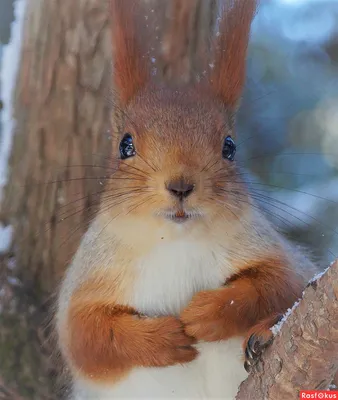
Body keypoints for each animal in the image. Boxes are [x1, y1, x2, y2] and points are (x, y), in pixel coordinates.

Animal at [55, 1, 316, 398]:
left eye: (229, 147)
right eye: (125, 145)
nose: (180, 185)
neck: (175, 242)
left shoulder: (277, 255)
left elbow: (279, 284)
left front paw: (206, 313)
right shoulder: (87, 281)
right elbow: (88, 338)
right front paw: (164, 337)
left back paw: (260, 337)